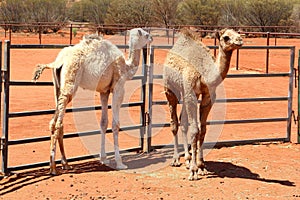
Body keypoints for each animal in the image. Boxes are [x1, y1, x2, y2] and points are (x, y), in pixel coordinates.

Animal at [32, 28, 152, 175]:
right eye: (146, 34)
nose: (151, 38)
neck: (126, 67)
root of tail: (58, 62)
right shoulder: (118, 87)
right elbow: (115, 124)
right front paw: (120, 163)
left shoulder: (104, 91)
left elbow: (103, 122)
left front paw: (104, 159)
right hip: (70, 83)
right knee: (58, 123)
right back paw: (53, 167)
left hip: (57, 87)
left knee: (54, 122)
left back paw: (65, 164)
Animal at [163, 27, 243, 180]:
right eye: (226, 37)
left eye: (238, 34)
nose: (240, 41)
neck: (205, 73)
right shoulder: (190, 93)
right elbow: (195, 130)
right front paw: (194, 171)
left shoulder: (208, 96)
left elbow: (203, 129)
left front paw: (201, 166)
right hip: (170, 89)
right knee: (174, 122)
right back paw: (176, 160)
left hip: (185, 92)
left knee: (183, 122)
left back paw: (188, 159)